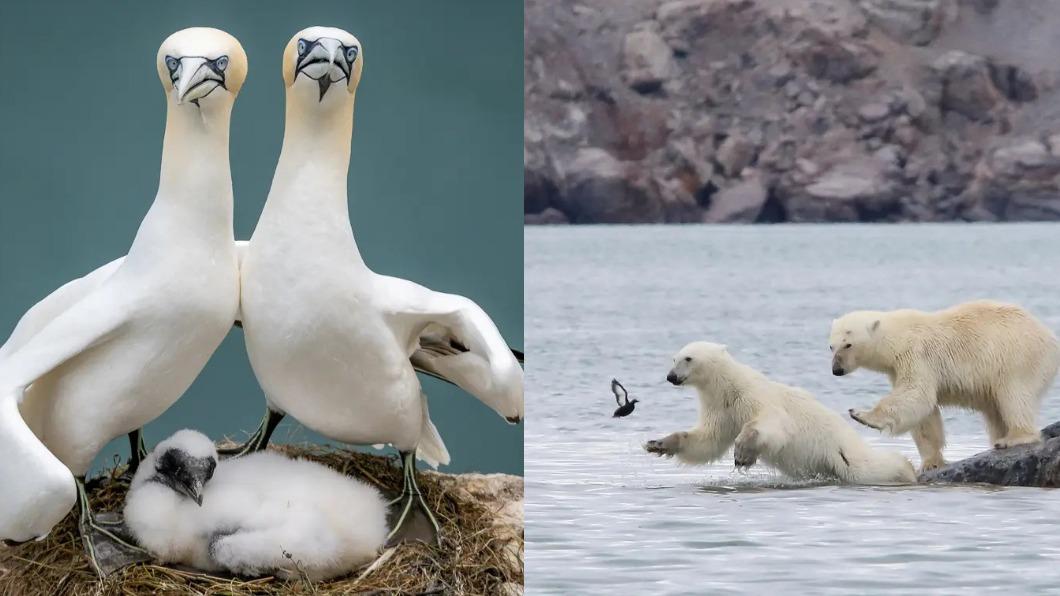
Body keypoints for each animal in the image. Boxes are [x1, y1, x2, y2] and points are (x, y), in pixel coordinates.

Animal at [644, 341, 916, 485]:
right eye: (674, 358)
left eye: (688, 358)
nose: (671, 377)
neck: (728, 387)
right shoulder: (722, 410)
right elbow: (707, 441)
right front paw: (658, 443)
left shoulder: (753, 397)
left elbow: (772, 426)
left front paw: (742, 454)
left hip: (842, 452)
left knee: (869, 467)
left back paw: (906, 468)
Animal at [830, 300, 1060, 471]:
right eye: (831, 346)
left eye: (848, 344)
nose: (836, 370)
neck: (898, 336)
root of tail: (1050, 337)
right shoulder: (897, 368)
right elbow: (926, 416)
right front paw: (930, 463)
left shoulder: (916, 355)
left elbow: (917, 394)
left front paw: (862, 415)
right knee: (995, 409)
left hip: (1017, 357)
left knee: (1014, 395)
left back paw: (1013, 438)